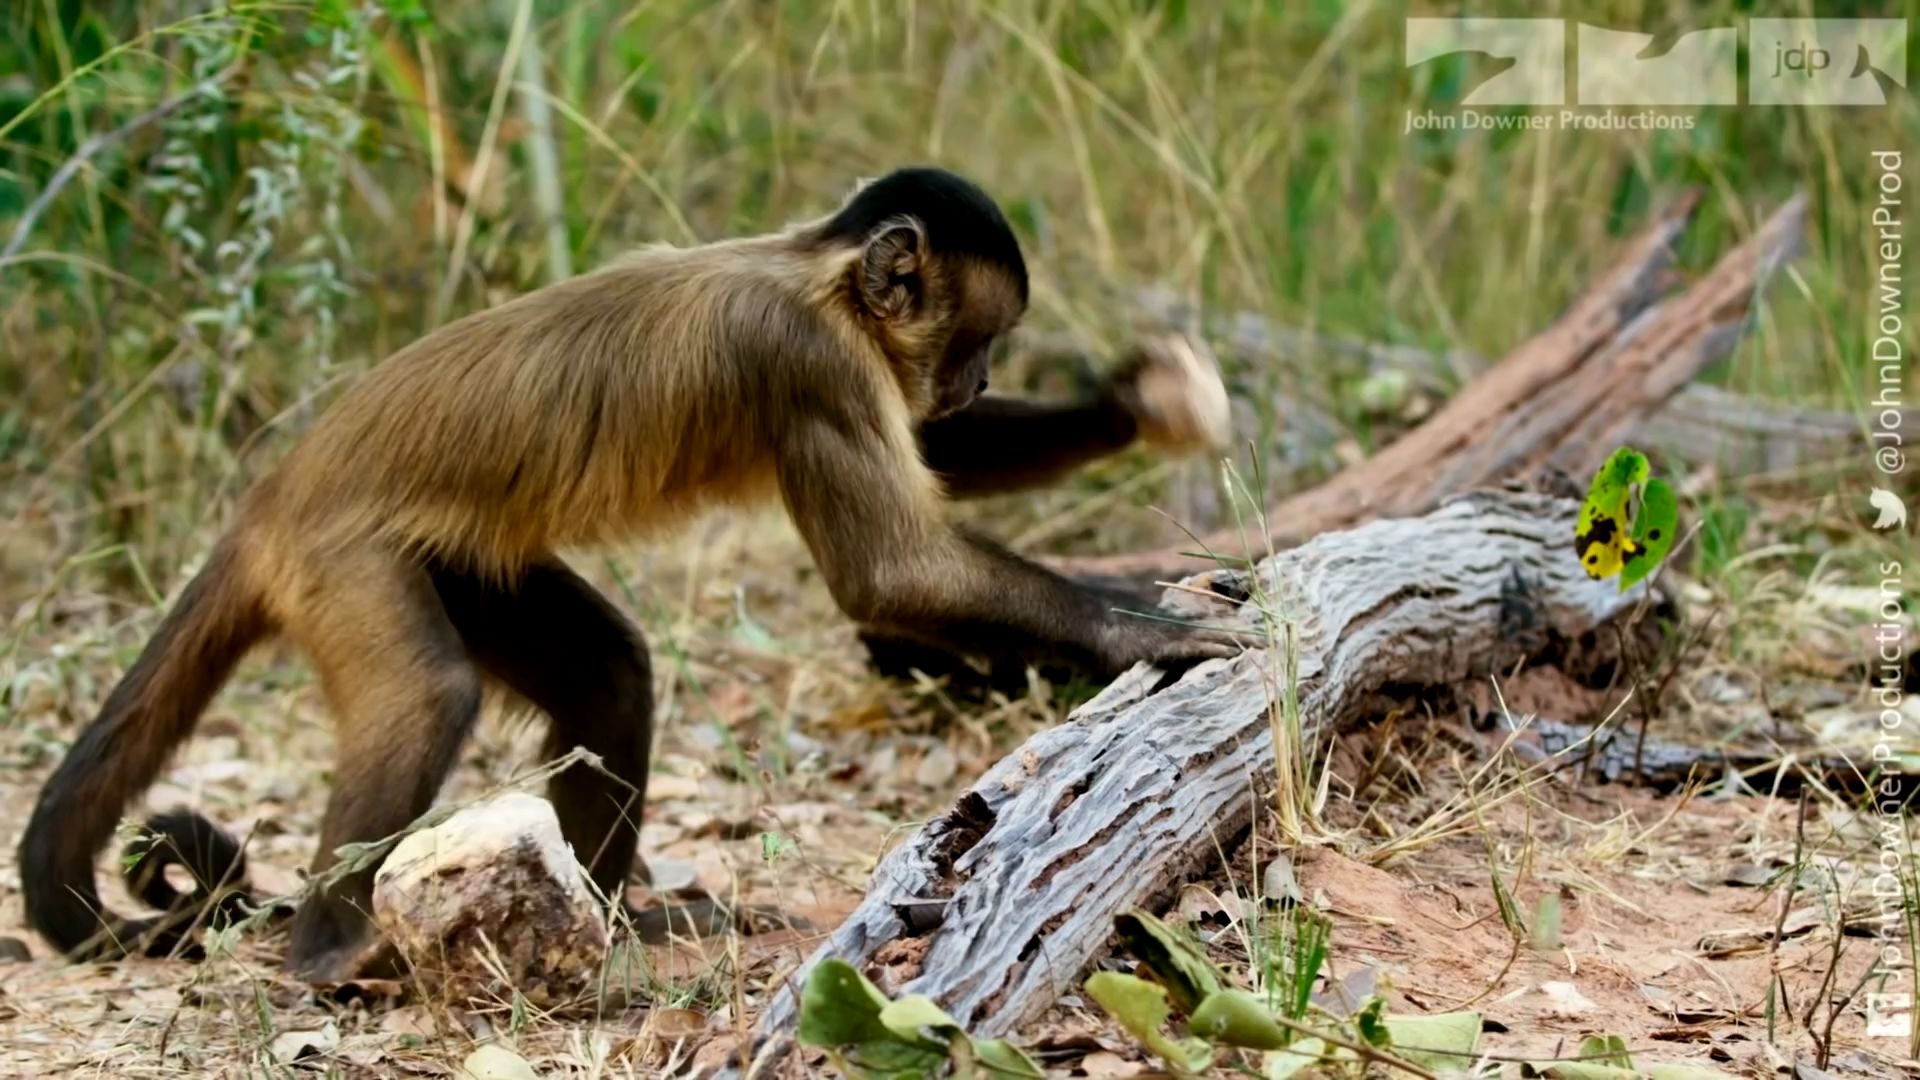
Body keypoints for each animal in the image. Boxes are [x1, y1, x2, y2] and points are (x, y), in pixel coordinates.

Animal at [18, 166, 1228, 976]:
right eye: (976, 340)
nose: (973, 380)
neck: (821, 276)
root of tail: (274, 493)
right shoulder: (805, 359)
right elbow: (895, 575)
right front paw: (1137, 630)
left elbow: (938, 458)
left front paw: (1138, 405)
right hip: (340, 558)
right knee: (428, 697)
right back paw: (325, 953)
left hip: (456, 558)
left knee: (608, 669)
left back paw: (607, 918)